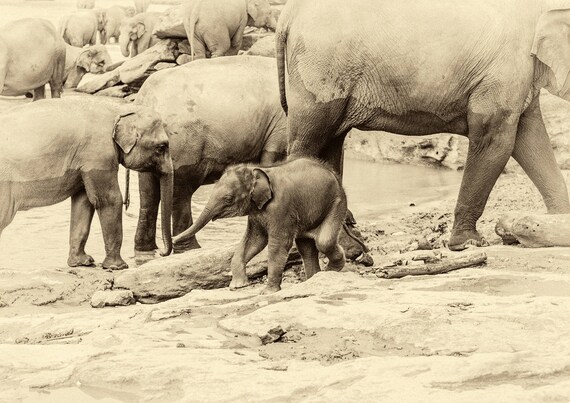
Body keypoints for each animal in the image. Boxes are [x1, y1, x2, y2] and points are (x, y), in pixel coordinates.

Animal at [0, 97, 173, 272]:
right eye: (161, 147)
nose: (161, 253)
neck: (119, 108)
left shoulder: (84, 163)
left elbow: (84, 201)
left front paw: (83, 262)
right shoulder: (98, 156)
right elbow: (109, 199)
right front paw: (119, 266)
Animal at [131, 55, 286, 254]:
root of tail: (145, 98)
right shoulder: (281, 126)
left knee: (148, 190)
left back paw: (147, 250)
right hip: (184, 145)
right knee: (181, 191)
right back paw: (190, 249)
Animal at [173, 157, 348, 294]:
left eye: (228, 199)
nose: (173, 239)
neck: (258, 170)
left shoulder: (281, 208)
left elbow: (278, 244)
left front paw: (267, 292)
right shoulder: (256, 212)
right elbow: (255, 241)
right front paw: (237, 286)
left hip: (337, 203)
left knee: (324, 241)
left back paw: (331, 270)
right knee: (306, 247)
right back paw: (313, 279)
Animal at [276, 0, 568, 252]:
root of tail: (286, 15)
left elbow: (530, 140)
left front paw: (558, 223)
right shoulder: (503, 73)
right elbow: (495, 140)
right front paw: (467, 244)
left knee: (331, 142)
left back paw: (353, 243)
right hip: (320, 71)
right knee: (309, 142)